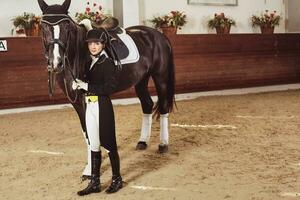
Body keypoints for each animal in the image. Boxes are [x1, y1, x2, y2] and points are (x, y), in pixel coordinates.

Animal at [37, 0, 175, 177]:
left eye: (66, 26)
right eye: (43, 27)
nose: (56, 63)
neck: (78, 55)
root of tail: (159, 35)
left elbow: (91, 133)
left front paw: (91, 169)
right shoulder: (76, 103)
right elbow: (86, 133)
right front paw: (89, 168)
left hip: (160, 77)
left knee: (163, 107)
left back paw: (163, 145)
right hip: (141, 80)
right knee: (147, 104)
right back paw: (142, 142)